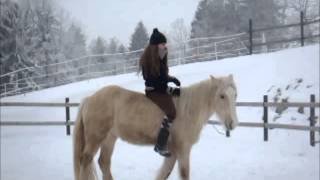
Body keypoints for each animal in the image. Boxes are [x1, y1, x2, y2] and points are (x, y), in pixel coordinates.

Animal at [72, 74, 238, 179]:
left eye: (235, 95)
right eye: (222, 96)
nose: (232, 123)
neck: (187, 109)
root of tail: (89, 99)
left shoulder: (172, 152)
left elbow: (164, 173)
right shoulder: (183, 149)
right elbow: (184, 174)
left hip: (109, 139)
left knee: (104, 163)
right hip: (95, 138)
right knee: (85, 161)